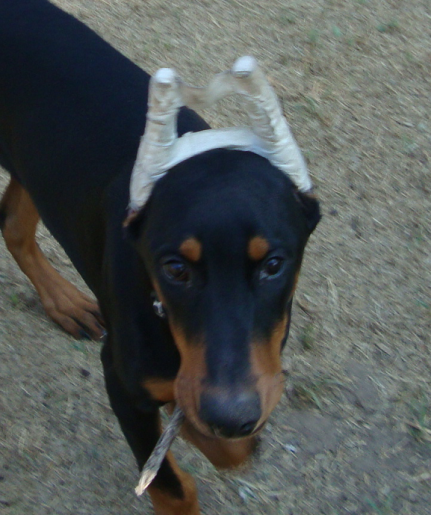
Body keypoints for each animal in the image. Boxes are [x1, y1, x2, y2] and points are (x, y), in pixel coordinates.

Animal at [0, 1, 318, 515]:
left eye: (273, 264)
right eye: (175, 269)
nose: (230, 413)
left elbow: (233, 447)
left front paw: (196, 421)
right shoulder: (120, 377)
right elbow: (172, 487)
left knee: (12, 220)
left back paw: (64, 302)